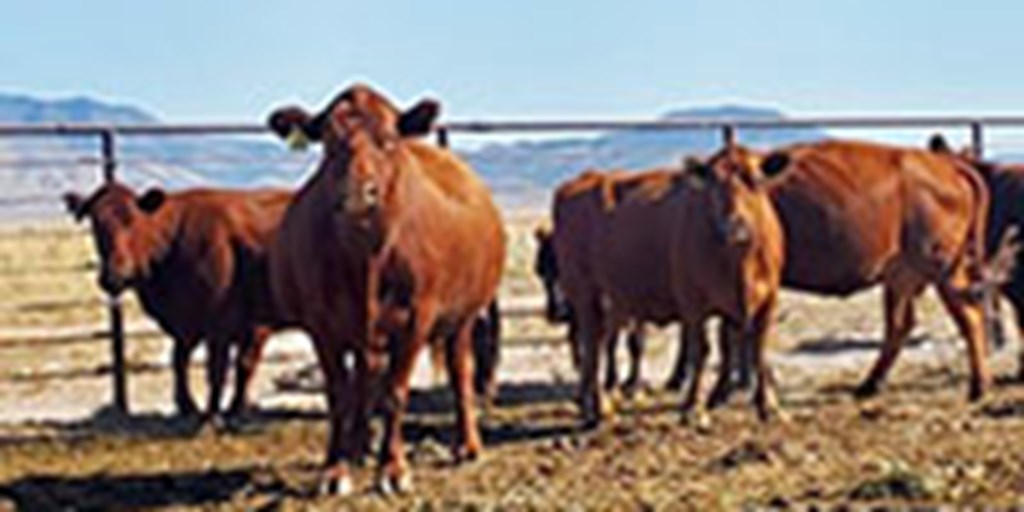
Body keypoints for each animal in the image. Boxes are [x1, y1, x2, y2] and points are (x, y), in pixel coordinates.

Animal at [62, 182, 290, 421]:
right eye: (95, 224)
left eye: (133, 219)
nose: (115, 275)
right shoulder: (187, 325)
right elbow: (179, 361)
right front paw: (188, 406)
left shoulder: (239, 326)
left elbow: (232, 367)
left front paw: (221, 412)